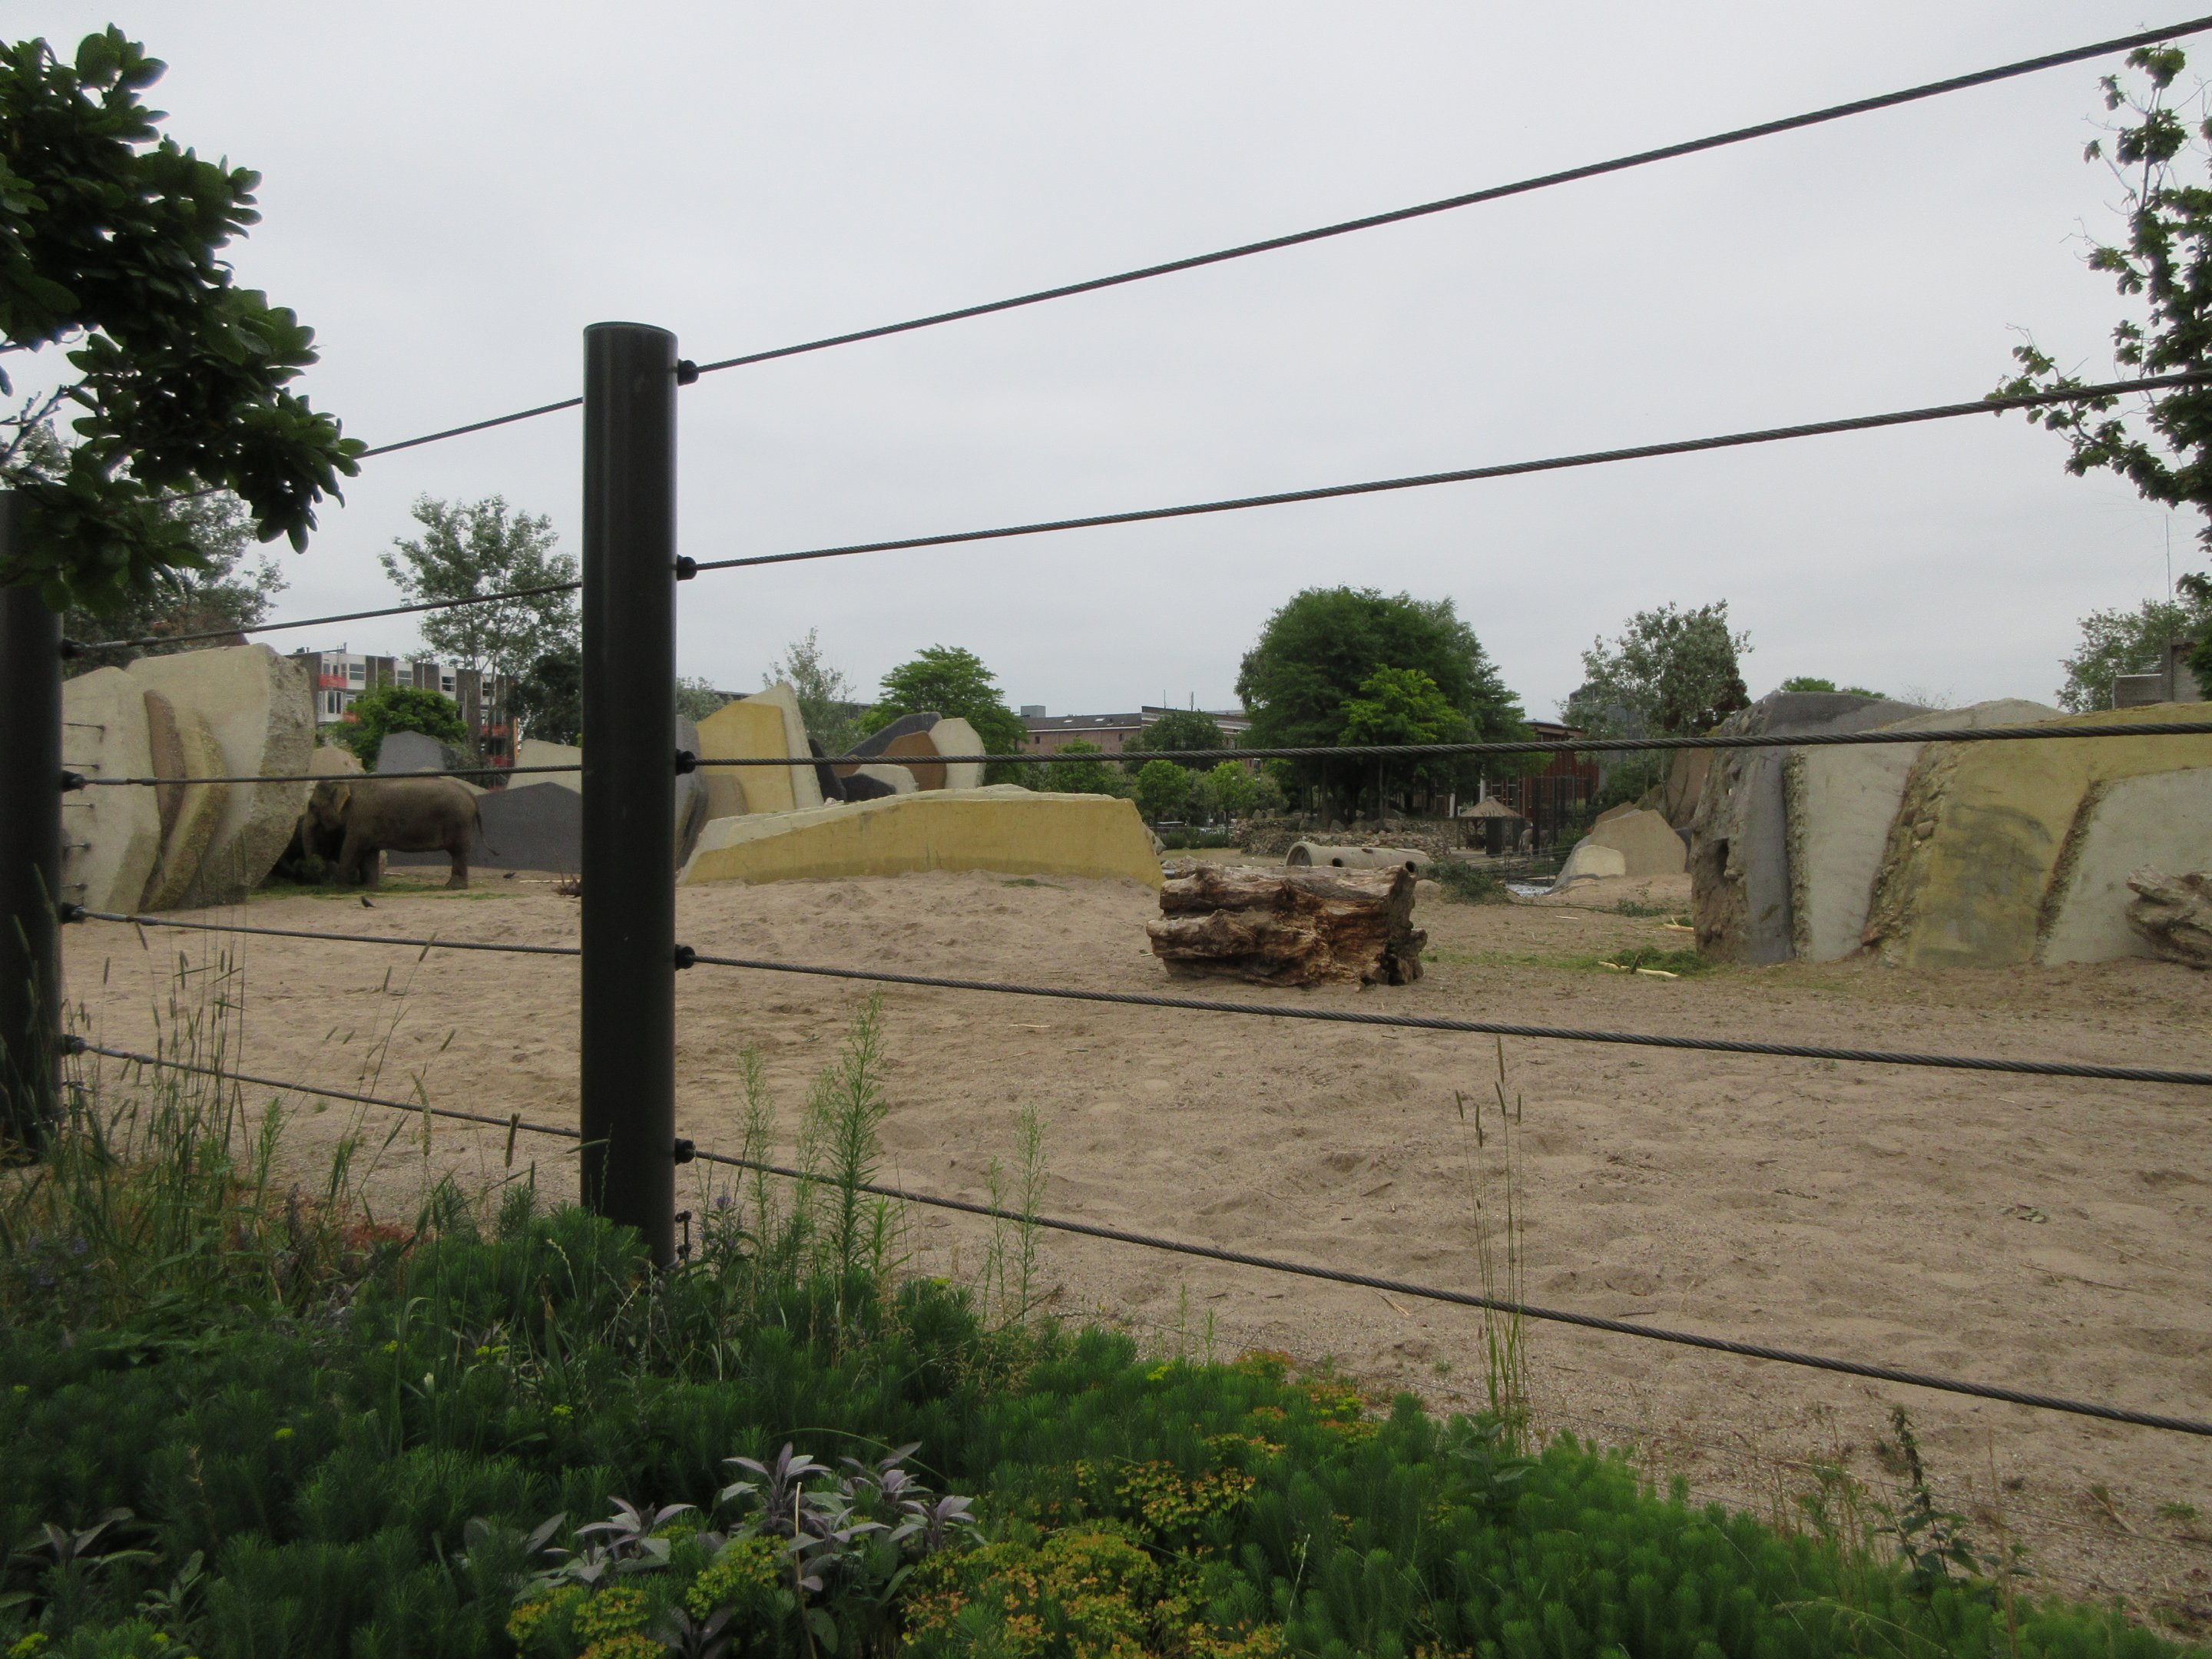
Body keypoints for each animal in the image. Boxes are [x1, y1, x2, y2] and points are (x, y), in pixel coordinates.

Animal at [307, 776, 482, 889]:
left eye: (312, 806)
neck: (349, 784)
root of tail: (472, 797)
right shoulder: (368, 826)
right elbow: (370, 853)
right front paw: (369, 888)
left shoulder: (361, 821)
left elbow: (351, 849)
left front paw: (339, 887)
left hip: (459, 822)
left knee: (458, 852)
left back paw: (454, 887)